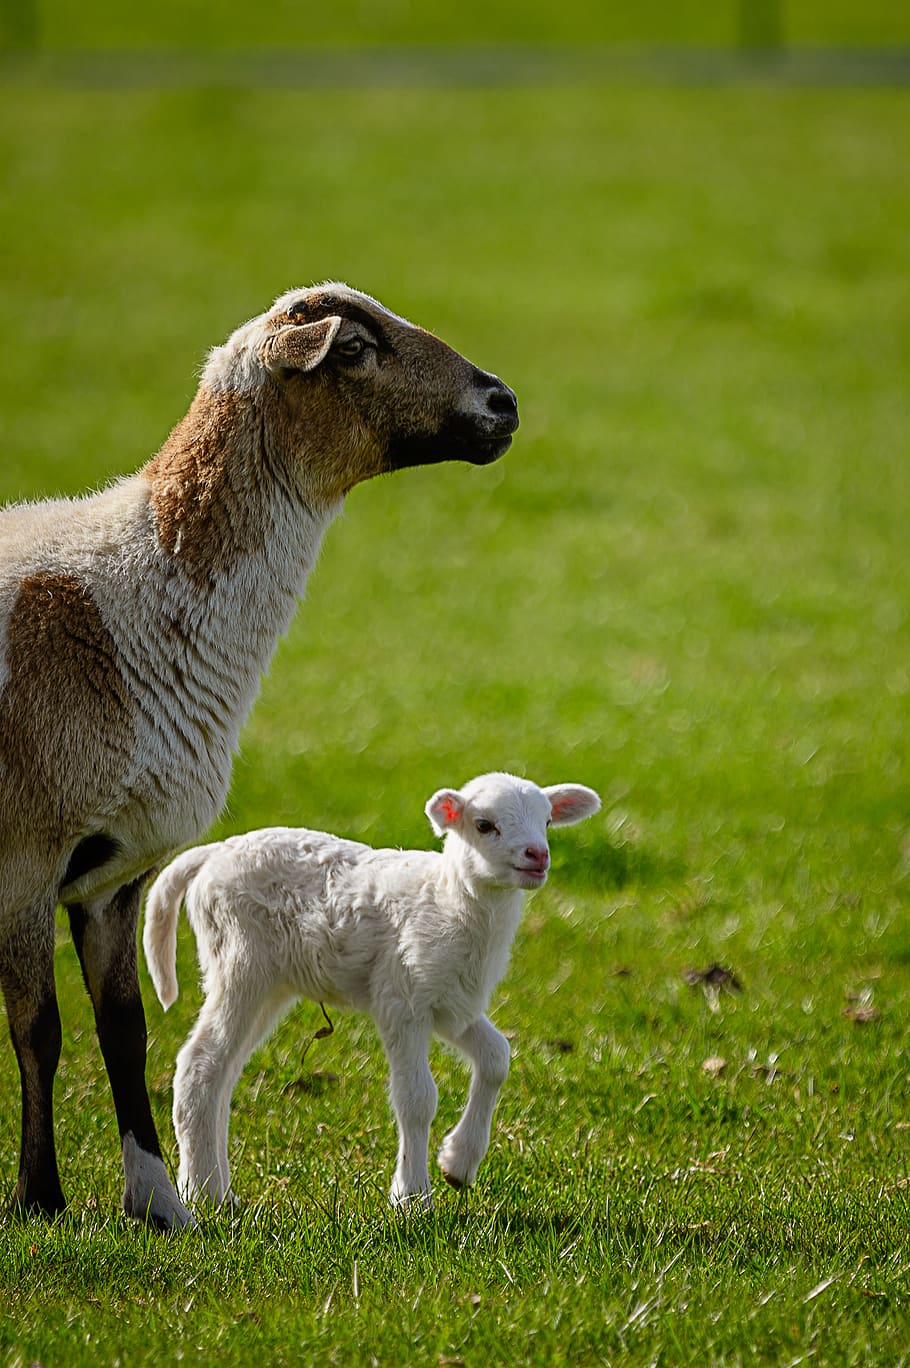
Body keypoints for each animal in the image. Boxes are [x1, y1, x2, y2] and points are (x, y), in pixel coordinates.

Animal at [0, 283, 518, 1227]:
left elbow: (124, 1031)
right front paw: (38, 1198)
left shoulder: (112, 874)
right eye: (353, 348)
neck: (126, 598)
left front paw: (157, 1201)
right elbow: (40, 1028)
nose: (502, 405)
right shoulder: (27, 852)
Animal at [142, 772, 601, 1210]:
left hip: (269, 982)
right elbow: (417, 1098)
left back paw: (221, 1191)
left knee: (224, 1073)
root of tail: (212, 853)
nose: (538, 856)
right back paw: (202, 1192)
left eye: (547, 821)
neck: (449, 901)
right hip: (239, 961)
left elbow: (496, 1058)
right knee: (200, 1063)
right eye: (484, 825)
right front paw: (412, 1197)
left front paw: (458, 1164)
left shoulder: (451, 1002)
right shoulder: (402, 998)